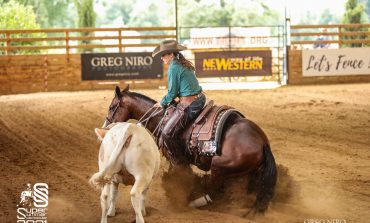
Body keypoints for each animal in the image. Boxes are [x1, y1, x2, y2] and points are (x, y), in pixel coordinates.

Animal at [102, 85, 276, 213]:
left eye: (111, 107)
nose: (106, 126)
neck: (162, 119)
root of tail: (262, 142)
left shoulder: (176, 160)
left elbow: (182, 176)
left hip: (219, 167)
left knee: (214, 190)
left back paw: (195, 202)